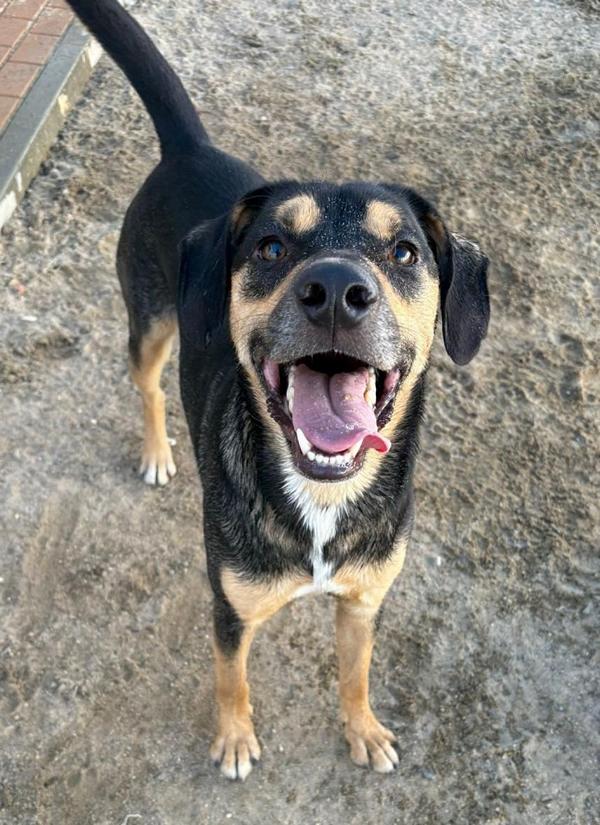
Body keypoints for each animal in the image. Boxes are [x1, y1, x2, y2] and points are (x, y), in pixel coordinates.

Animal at [65, 0, 490, 779]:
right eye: (270, 247)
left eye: (405, 252)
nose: (337, 290)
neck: (321, 494)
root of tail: (190, 150)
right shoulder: (230, 607)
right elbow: (230, 678)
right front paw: (234, 740)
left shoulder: (363, 601)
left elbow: (356, 672)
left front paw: (363, 729)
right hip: (150, 321)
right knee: (146, 383)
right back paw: (156, 452)